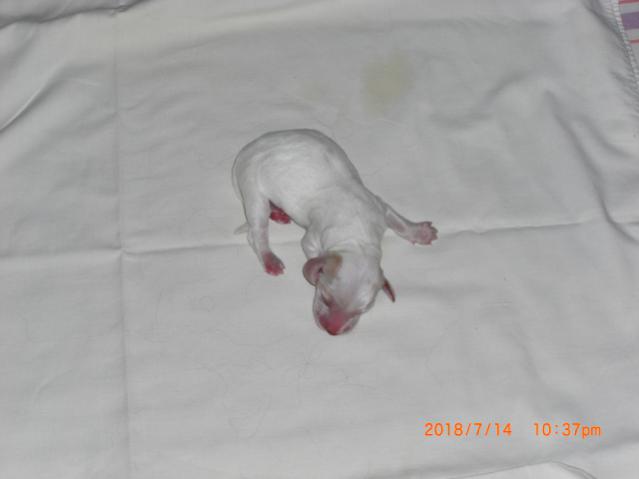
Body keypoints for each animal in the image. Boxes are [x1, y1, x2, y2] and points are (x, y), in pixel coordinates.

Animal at [232, 129, 437, 335]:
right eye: (326, 298)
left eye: (362, 310)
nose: (331, 330)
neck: (357, 237)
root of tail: (246, 150)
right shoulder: (313, 236)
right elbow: (310, 250)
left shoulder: (379, 207)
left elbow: (399, 222)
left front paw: (420, 232)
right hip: (253, 187)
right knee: (255, 231)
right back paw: (269, 258)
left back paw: (279, 213)